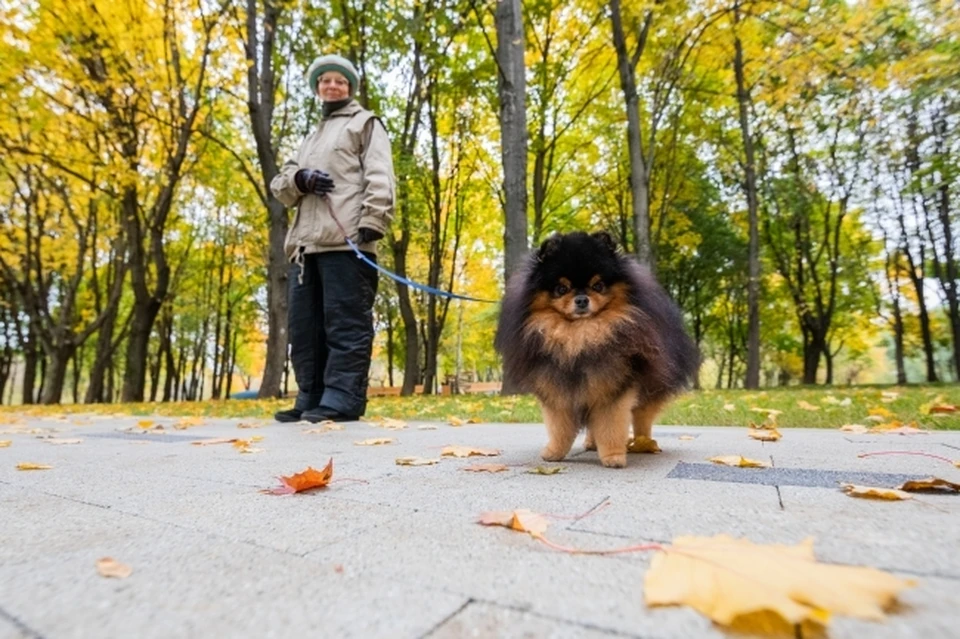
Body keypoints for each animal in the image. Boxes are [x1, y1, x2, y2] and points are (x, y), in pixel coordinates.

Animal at [496, 232, 696, 468]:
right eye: (561, 289)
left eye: (598, 285)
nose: (582, 299)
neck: (580, 337)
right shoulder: (558, 389)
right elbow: (559, 427)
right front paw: (554, 452)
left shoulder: (614, 388)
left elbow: (610, 426)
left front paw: (613, 457)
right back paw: (592, 443)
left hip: (651, 384)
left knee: (642, 418)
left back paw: (643, 444)